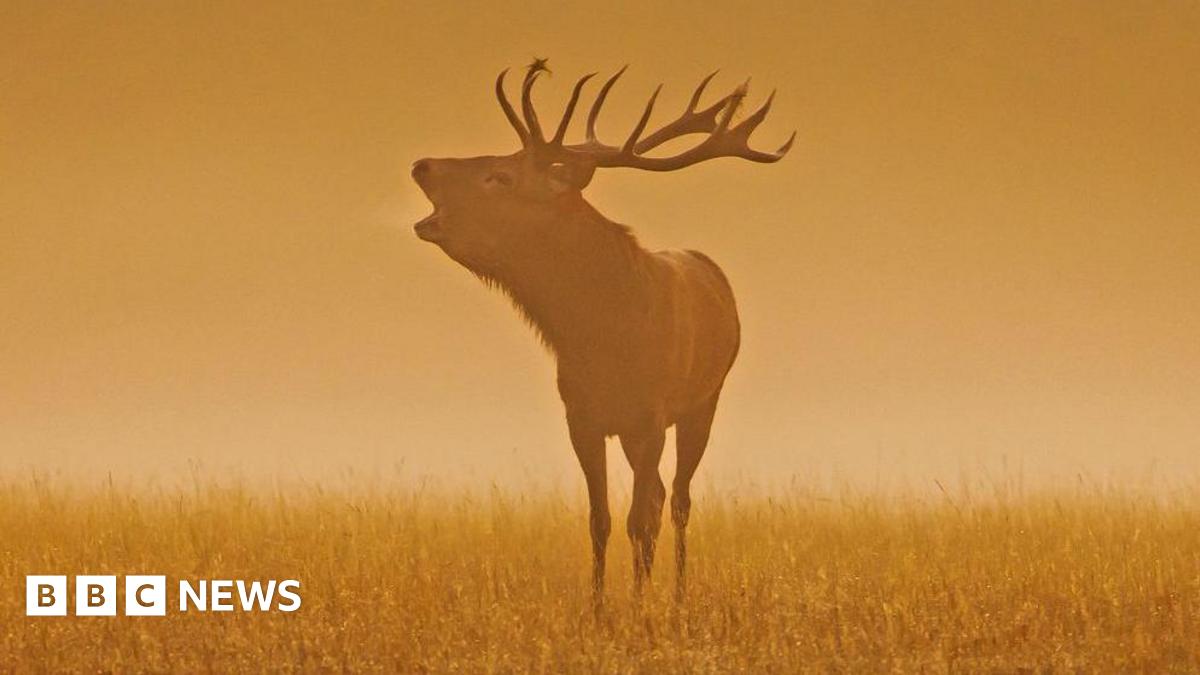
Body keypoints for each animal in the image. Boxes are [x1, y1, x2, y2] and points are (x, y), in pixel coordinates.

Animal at [411, 61, 793, 600]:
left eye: (500, 176)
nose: (421, 165)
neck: (600, 333)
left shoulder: (651, 416)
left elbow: (639, 521)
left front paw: (639, 607)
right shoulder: (583, 419)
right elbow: (601, 521)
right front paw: (600, 608)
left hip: (703, 402)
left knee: (679, 500)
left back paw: (678, 595)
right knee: (659, 495)